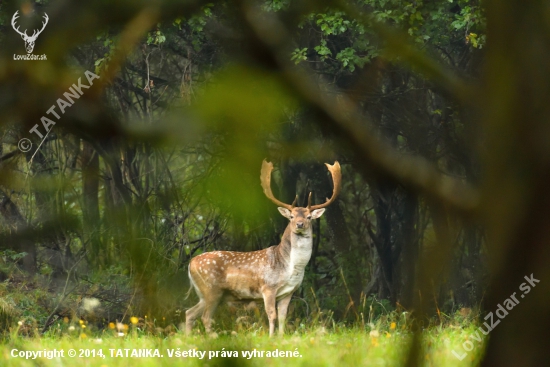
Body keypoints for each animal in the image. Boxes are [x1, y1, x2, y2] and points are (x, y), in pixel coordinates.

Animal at [185, 160, 340, 338]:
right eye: (291, 216)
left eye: (308, 217)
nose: (300, 224)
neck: (289, 267)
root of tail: (190, 263)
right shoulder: (268, 287)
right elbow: (271, 315)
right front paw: (271, 337)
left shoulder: (289, 292)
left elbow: (283, 316)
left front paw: (281, 337)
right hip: (211, 289)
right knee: (205, 317)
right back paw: (213, 338)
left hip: (206, 294)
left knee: (189, 313)